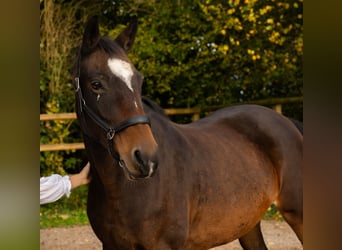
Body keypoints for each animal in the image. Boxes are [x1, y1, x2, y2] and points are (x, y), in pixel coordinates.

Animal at [74, 16, 302, 249]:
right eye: (96, 84)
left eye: (139, 80)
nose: (145, 158)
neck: (119, 190)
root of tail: (287, 122)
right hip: (249, 224)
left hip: (298, 213)